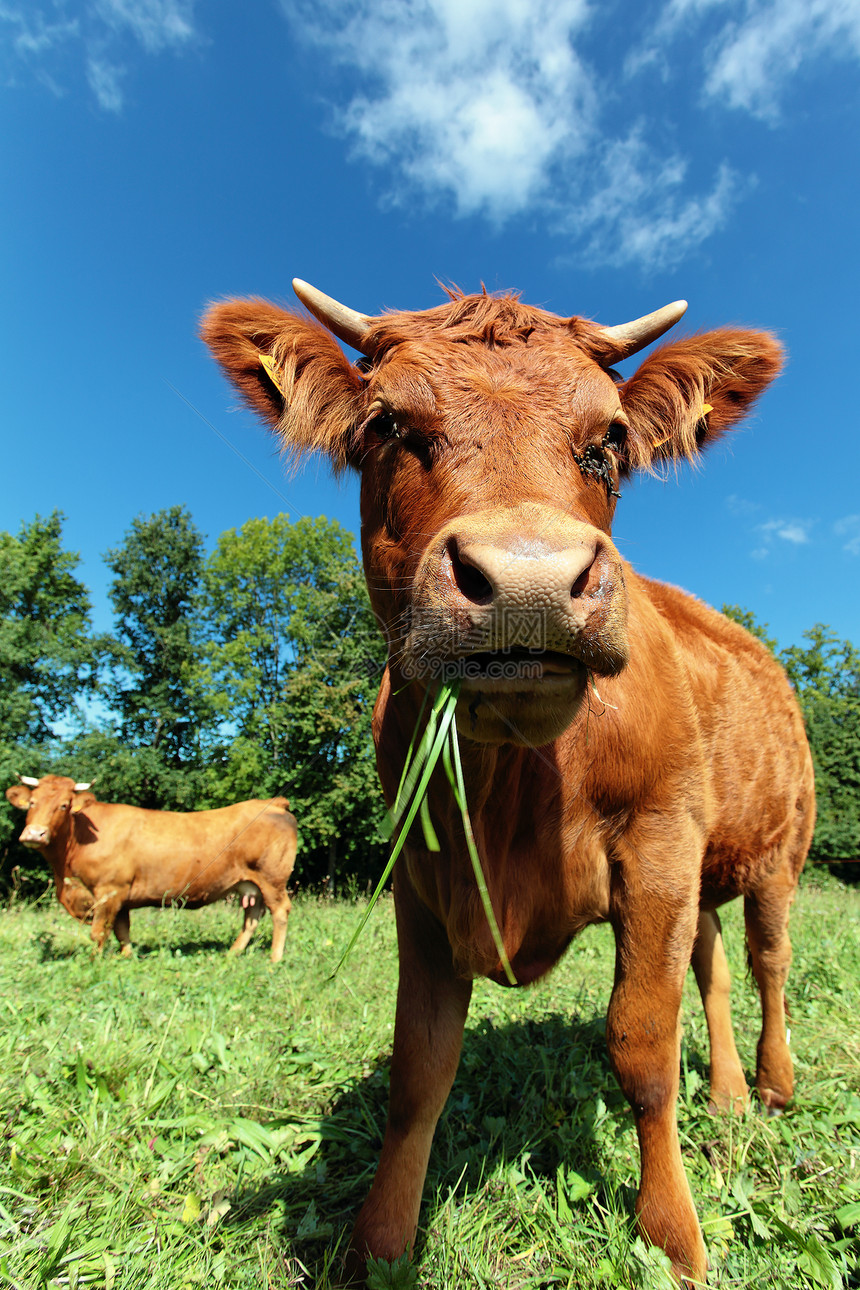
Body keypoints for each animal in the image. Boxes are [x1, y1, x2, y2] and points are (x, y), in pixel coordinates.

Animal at [5, 774, 299, 959]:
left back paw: (274, 959)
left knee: (279, 911)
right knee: (252, 916)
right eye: (32, 803)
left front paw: (93, 961)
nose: (35, 834)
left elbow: (99, 932)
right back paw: (232, 953)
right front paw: (126, 957)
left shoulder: (109, 890)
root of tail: (272, 803)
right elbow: (122, 930)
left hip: (272, 879)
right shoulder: (120, 897)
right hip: (251, 884)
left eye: (64, 805)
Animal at [202, 279, 814, 1279]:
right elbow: (419, 1065)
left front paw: (673, 1238)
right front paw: (378, 1244)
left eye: (609, 442)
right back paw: (726, 1091)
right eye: (386, 424)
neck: (512, 786)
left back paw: (773, 1084)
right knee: (717, 966)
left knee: (768, 962)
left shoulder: (657, 844)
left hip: (776, 853)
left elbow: (643, 1044)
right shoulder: (422, 874)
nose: (530, 583)